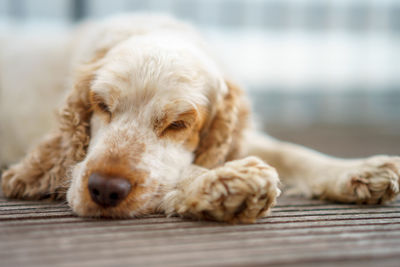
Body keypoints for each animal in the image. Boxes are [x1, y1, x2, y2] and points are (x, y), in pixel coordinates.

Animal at [0, 14, 400, 224]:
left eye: (178, 123)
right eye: (101, 105)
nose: (104, 189)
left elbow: (290, 151)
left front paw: (358, 170)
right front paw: (226, 184)